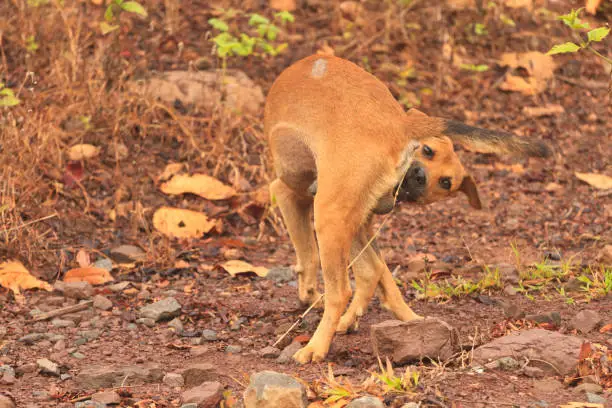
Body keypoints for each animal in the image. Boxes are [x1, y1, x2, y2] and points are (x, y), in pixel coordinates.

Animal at [266, 53, 552, 364]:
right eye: (428, 151)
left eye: (445, 181)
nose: (419, 177)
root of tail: (401, 125)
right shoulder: (360, 223)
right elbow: (380, 275)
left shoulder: (288, 194)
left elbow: (307, 254)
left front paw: (308, 293)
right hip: (343, 221)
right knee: (369, 272)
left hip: (328, 217)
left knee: (341, 290)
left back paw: (315, 347)